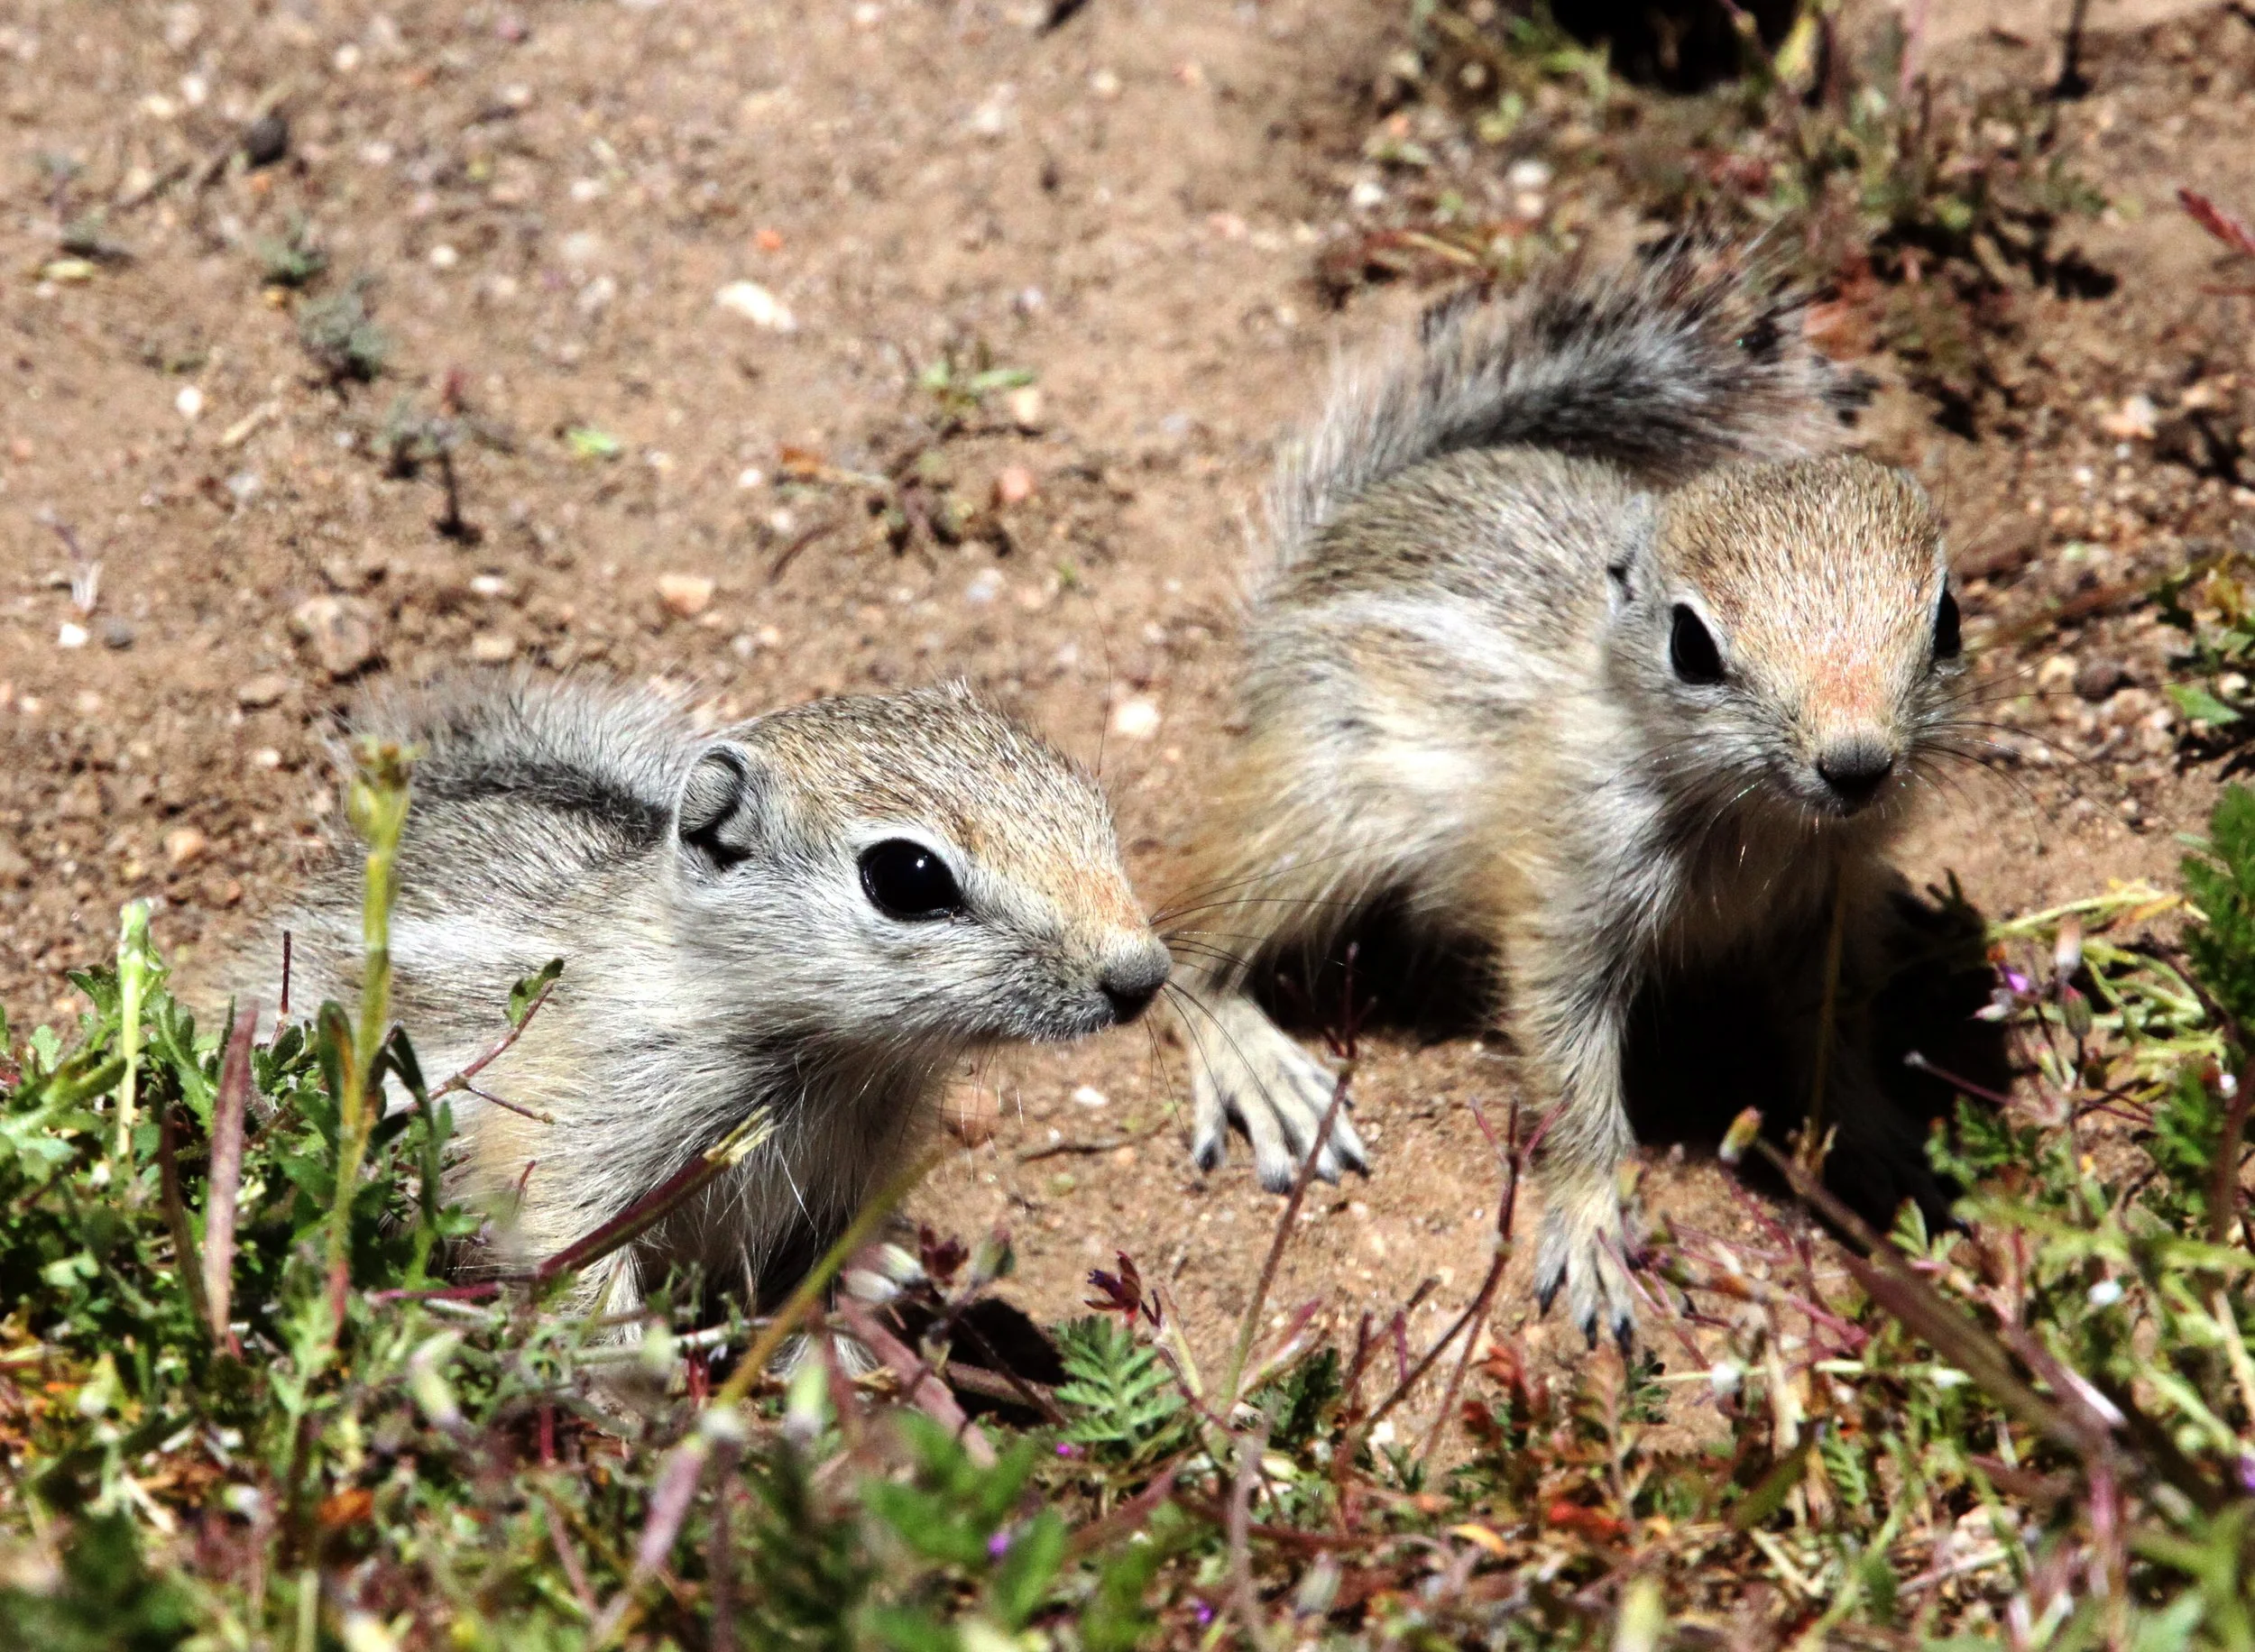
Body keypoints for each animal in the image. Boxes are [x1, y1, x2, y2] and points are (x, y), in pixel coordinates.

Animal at [262, 673, 1172, 1320]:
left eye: (1090, 804)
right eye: (907, 877)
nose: (1142, 977)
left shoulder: (840, 1197)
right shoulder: (571, 1142)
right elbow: (573, 1264)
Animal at [1165, 240, 1971, 1347]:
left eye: (1949, 618)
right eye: (1691, 644)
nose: (1855, 763)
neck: (1756, 822)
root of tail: (1306, 568)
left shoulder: (1832, 904)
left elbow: (1832, 1029)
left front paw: (1879, 1140)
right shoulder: (1568, 898)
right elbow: (1572, 1075)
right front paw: (1590, 1229)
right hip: (1318, 814)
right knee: (1186, 939)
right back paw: (1258, 1064)